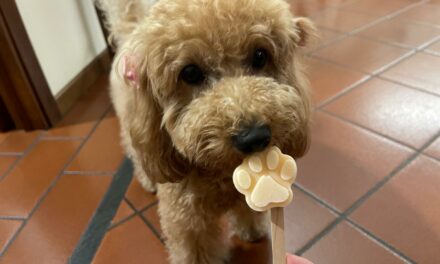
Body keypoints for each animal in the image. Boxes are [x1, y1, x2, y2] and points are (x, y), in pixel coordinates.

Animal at [96, 0, 316, 262]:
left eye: (260, 55)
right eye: (190, 73)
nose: (254, 137)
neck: (220, 171)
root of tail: (131, 30)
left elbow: (249, 210)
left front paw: (252, 230)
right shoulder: (187, 222)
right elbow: (195, 249)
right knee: (136, 153)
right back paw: (148, 180)